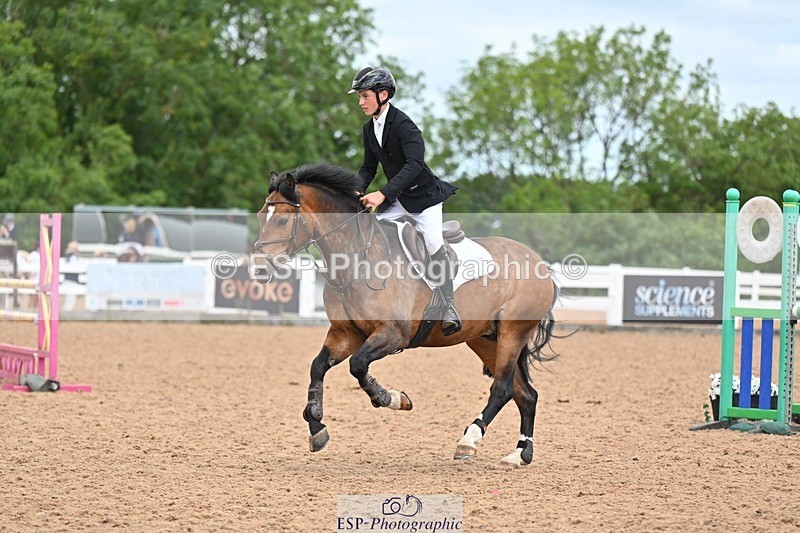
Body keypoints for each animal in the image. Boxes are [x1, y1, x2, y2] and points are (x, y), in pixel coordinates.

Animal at [254, 163, 558, 466]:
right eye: (260, 216)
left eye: (282, 221)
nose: (259, 270)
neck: (357, 260)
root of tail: (538, 262)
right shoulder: (346, 333)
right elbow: (318, 366)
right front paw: (317, 427)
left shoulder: (394, 334)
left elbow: (358, 364)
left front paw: (391, 398)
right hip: (484, 339)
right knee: (525, 394)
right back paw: (520, 454)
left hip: (512, 333)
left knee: (502, 389)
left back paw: (468, 441)